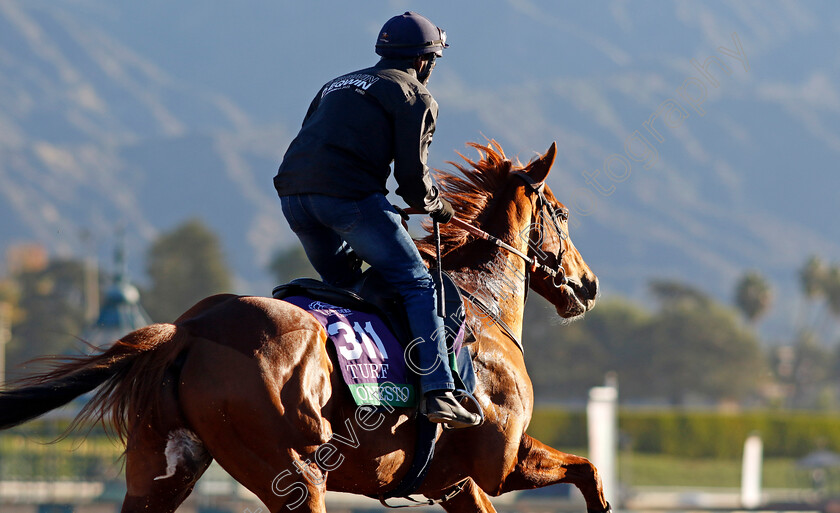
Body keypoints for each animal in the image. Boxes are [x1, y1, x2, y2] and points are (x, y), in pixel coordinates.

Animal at [0, 140, 604, 512]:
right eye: (562, 212)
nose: (589, 283)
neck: (482, 304)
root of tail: (188, 330)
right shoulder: (499, 464)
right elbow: (588, 468)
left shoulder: (455, 480)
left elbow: (585, 469)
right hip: (294, 472)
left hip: (159, 472)